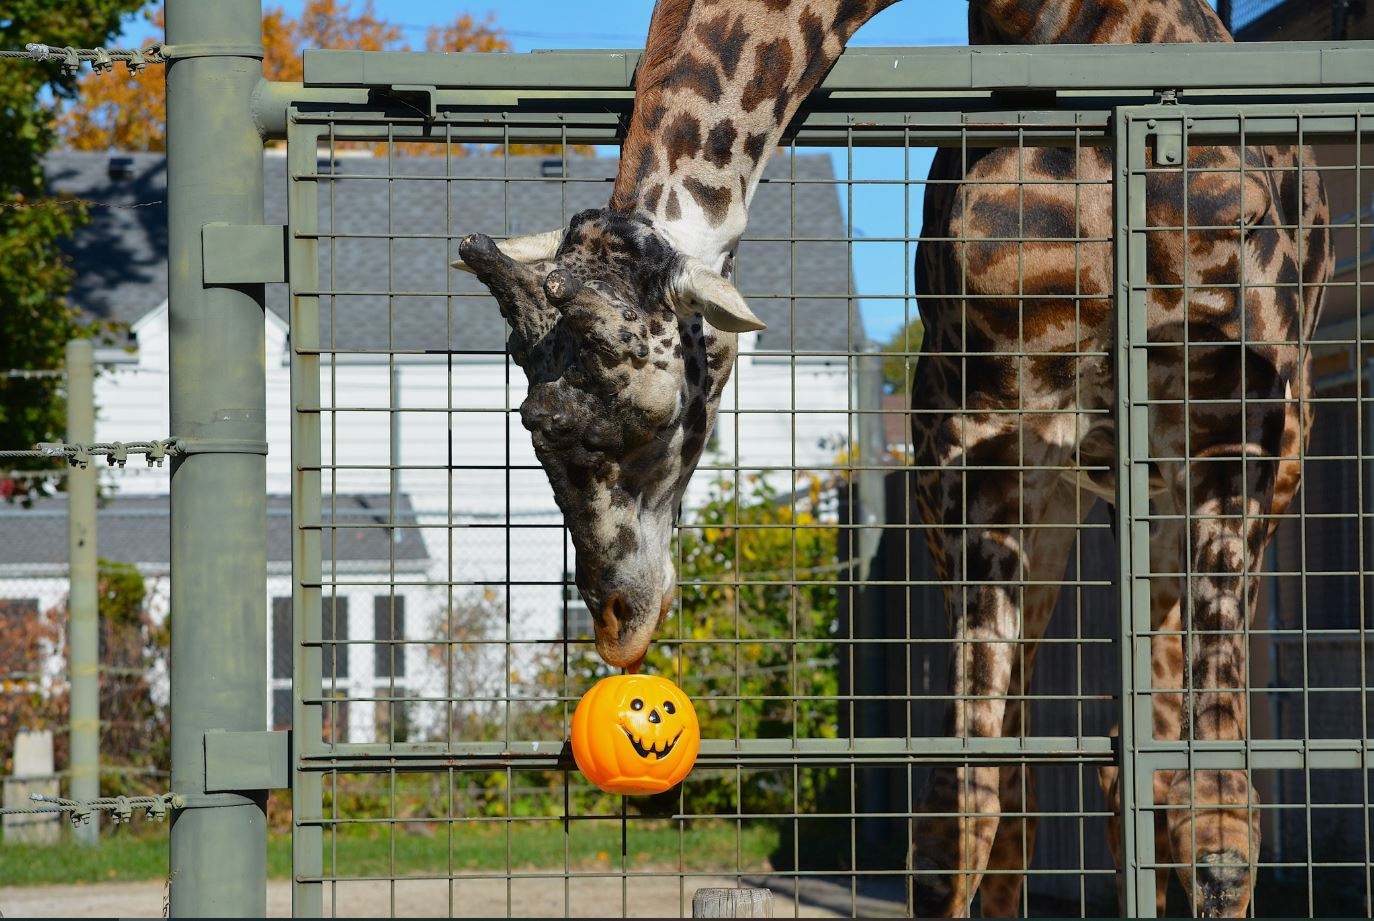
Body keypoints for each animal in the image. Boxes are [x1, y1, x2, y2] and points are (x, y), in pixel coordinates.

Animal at [453, 0, 1332, 916]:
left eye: (656, 409)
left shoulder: (1232, 419)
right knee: (1063, 774)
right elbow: (959, 816)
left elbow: (1219, 830)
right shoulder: (973, 433)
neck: (1066, 27)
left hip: (1237, 470)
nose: (617, 621)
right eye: (530, 422)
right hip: (1070, 496)